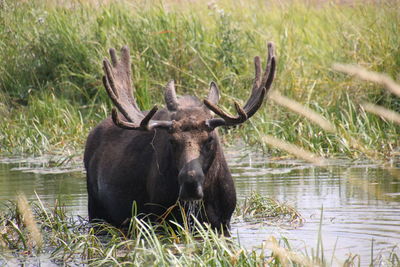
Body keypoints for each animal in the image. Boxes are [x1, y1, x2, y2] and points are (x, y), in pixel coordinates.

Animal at [83, 43, 276, 234]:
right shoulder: (161, 219)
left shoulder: (224, 221)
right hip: (95, 209)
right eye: (172, 141)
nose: (190, 182)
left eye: (210, 139)